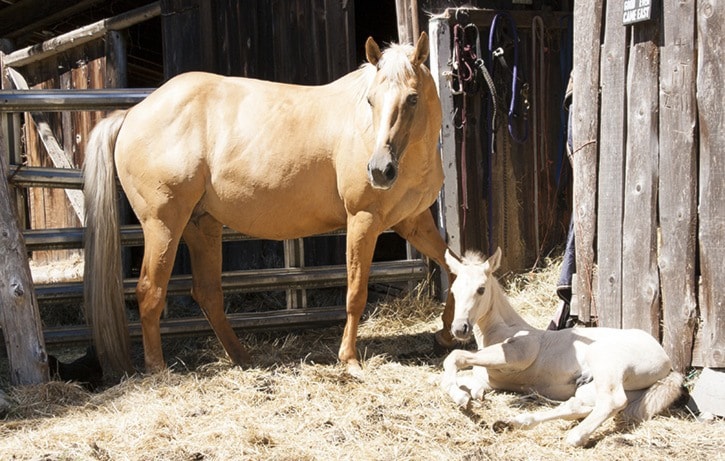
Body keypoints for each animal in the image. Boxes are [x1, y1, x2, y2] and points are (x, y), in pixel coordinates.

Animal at [83, 33, 452, 378]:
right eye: (371, 100)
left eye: (413, 98)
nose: (378, 170)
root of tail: (132, 113)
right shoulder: (363, 220)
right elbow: (355, 293)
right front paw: (349, 360)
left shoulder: (414, 221)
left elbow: (455, 268)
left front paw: (447, 334)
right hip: (163, 224)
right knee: (150, 291)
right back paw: (158, 370)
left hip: (201, 225)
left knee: (208, 293)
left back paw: (242, 358)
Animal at [438, 248, 680, 446]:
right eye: (454, 290)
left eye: (481, 289)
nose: (460, 328)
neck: (502, 329)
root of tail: (667, 363)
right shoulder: (486, 379)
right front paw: (468, 394)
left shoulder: (517, 354)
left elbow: (455, 357)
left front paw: (461, 398)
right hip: (600, 387)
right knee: (578, 407)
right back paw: (511, 423)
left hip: (606, 363)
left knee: (612, 401)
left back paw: (575, 437)